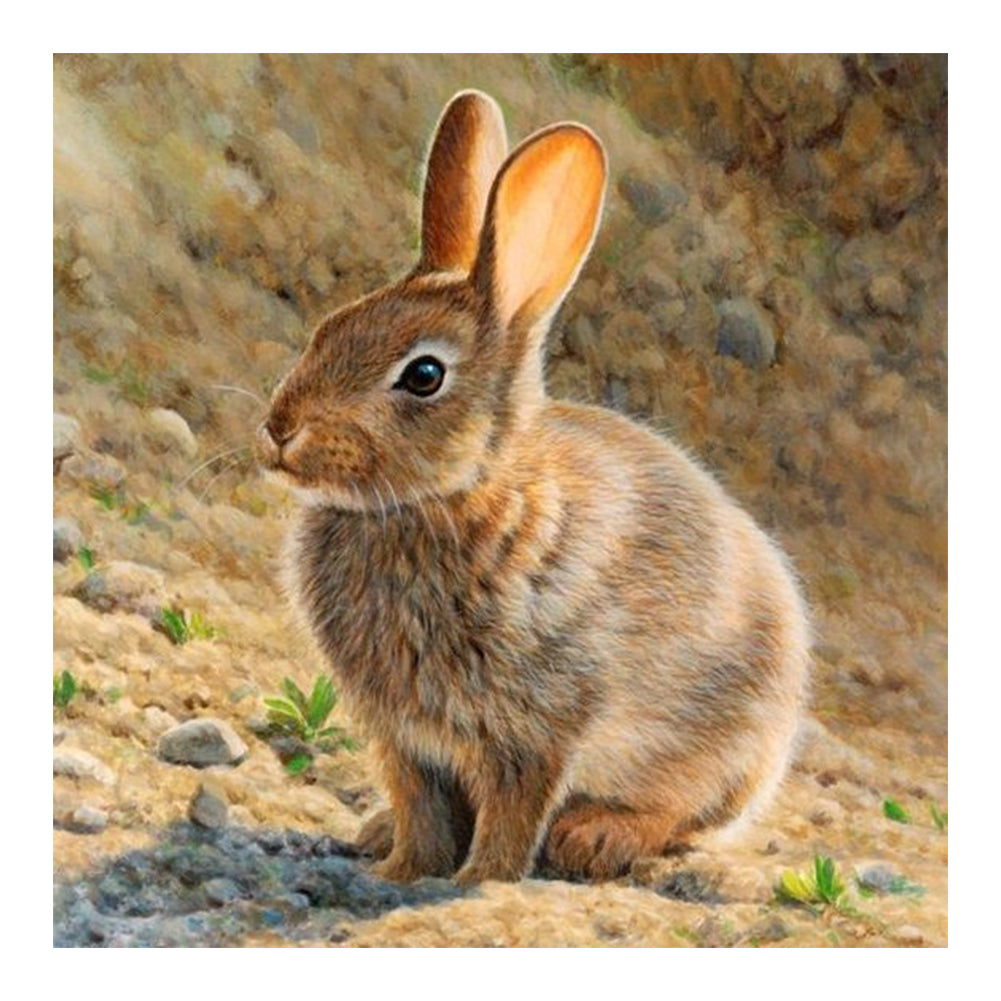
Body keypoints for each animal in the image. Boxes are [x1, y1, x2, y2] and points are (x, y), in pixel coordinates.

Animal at [255, 90, 810, 886]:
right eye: (329, 326)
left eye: (423, 375)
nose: (279, 430)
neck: (452, 498)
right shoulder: (404, 738)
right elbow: (420, 807)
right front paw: (398, 869)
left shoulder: (537, 727)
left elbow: (514, 813)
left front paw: (479, 880)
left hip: (723, 749)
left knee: (683, 818)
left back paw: (597, 837)